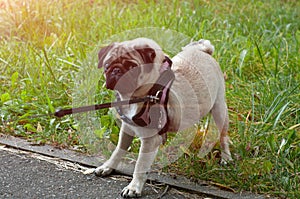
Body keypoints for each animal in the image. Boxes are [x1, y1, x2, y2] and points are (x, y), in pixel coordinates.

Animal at [95, 37, 232, 197]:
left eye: (132, 66)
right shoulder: (127, 130)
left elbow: (140, 165)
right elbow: (118, 151)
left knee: (223, 137)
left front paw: (134, 187)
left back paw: (226, 158)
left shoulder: (149, 141)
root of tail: (203, 51)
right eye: (107, 65)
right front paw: (108, 167)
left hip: (219, 110)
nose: (116, 70)